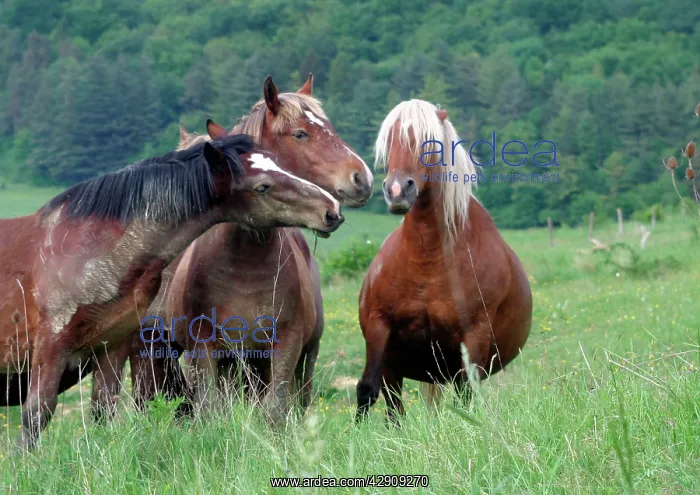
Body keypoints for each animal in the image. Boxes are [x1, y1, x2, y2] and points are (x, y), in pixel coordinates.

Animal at [0, 133, 343, 448]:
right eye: (262, 187)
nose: (332, 210)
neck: (85, 248)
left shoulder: (112, 346)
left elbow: (103, 409)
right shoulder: (51, 346)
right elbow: (37, 413)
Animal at [124, 74, 374, 422]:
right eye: (300, 133)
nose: (362, 179)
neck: (244, 265)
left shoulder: (285, 346)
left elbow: (275, 410)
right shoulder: (204, 349)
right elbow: (211, 408)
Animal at [355, 99, 532, 423]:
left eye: (430, 142)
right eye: (389, 141)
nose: (397, 190)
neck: (428, 259)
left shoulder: (473, 337)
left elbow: (467, 397)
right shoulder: (378, 327)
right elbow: (366, 390)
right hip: (395, 367)